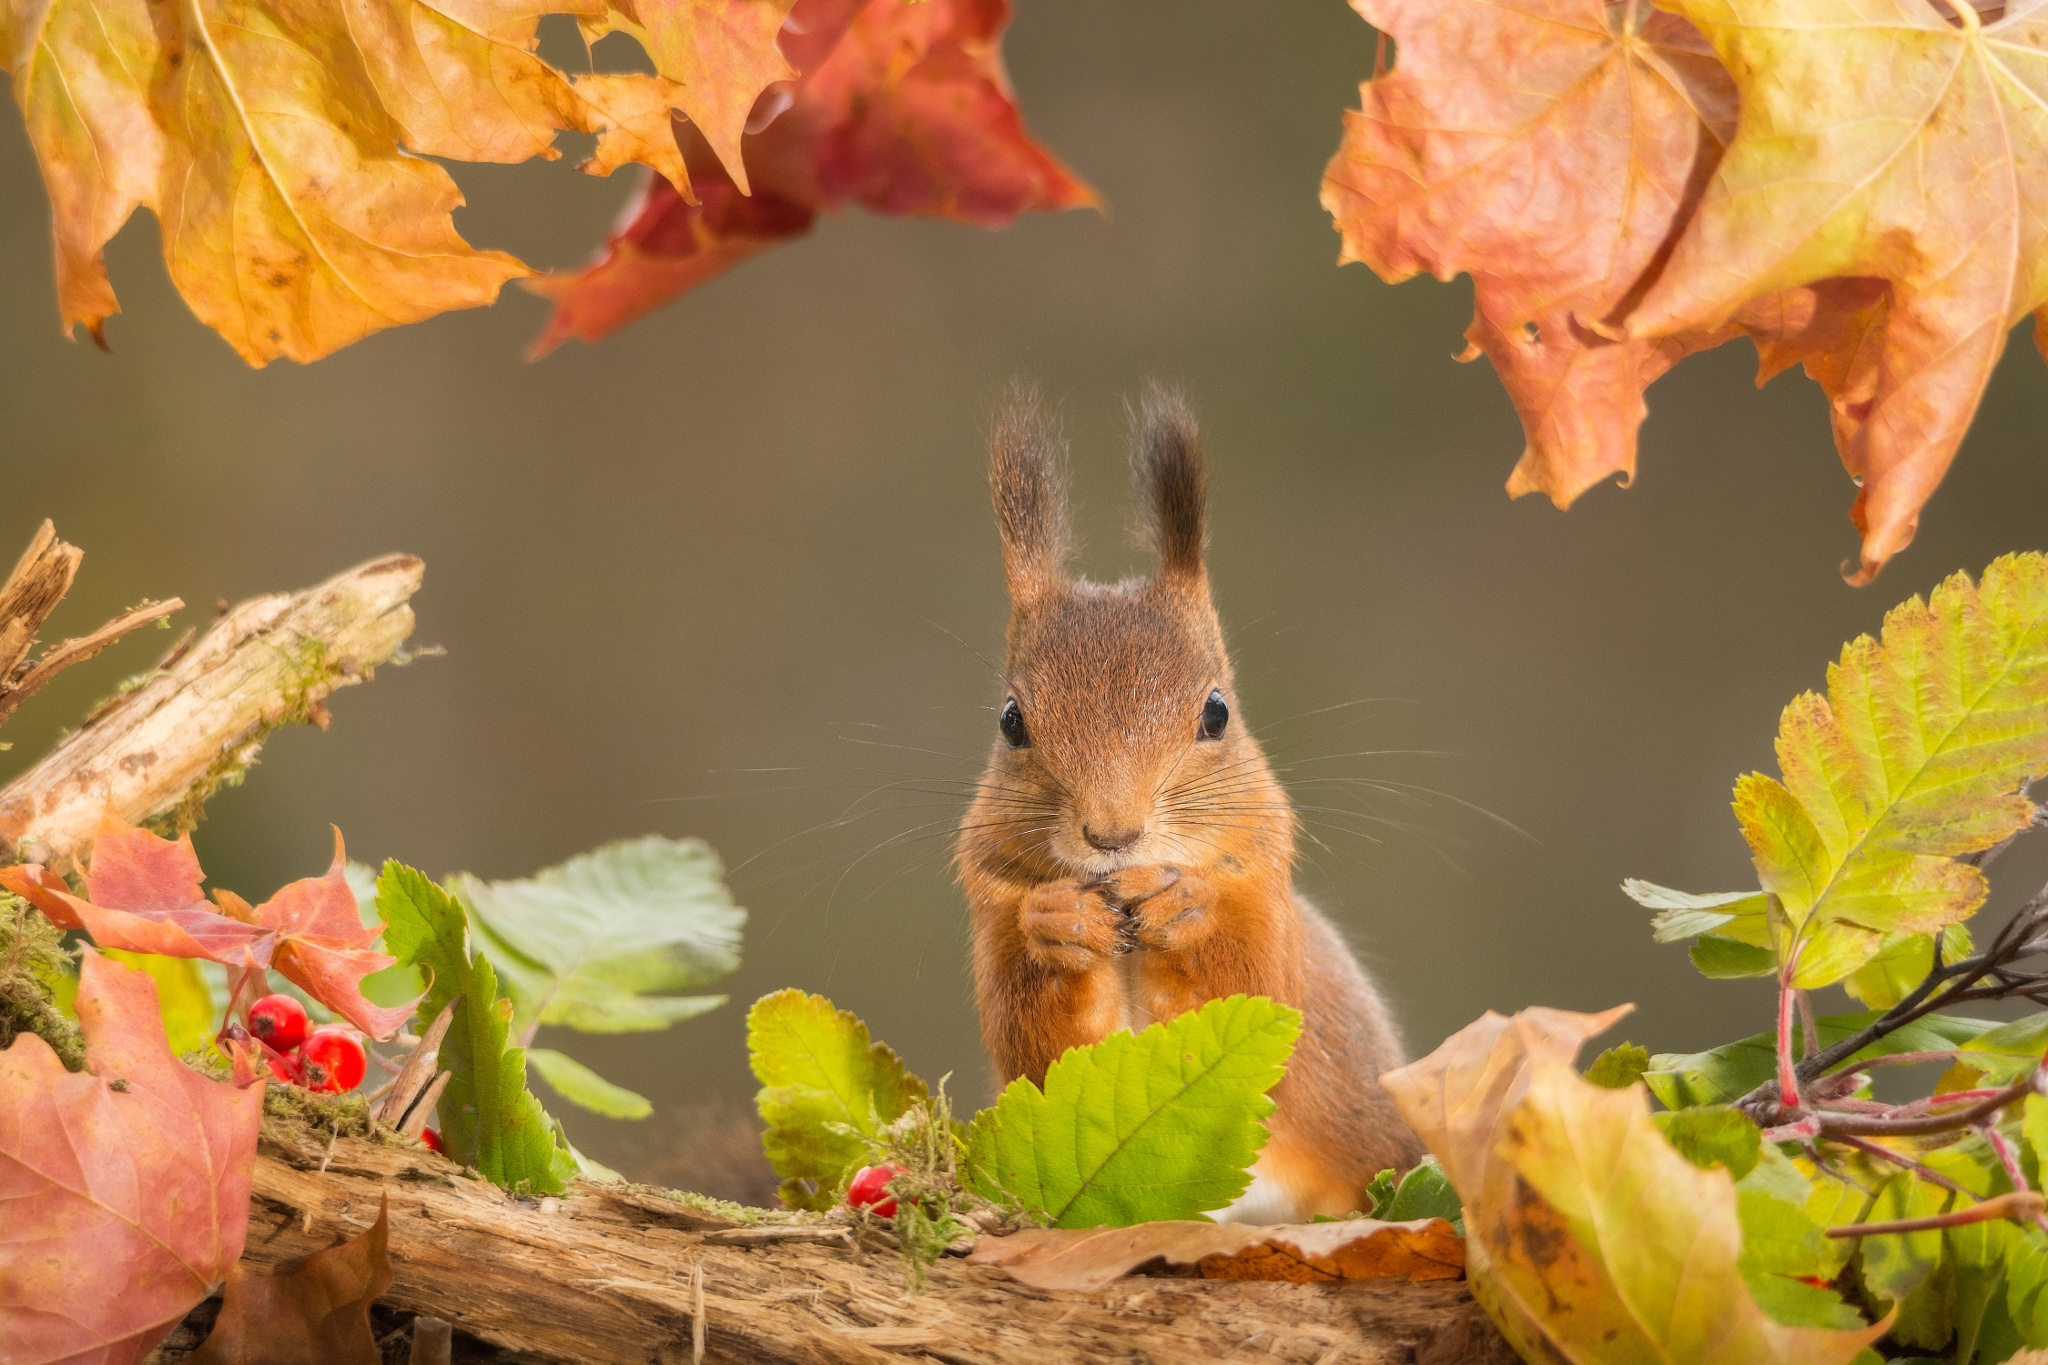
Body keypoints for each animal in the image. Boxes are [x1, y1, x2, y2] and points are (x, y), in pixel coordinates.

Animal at [958, 386, 1425, 1227]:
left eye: (1216, 712)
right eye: (1011, 721)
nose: (1112, 832)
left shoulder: (1266, 904)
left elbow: (1253, 987)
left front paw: (1186, 903)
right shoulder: (992, 912)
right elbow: (1043, 1051)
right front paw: (1057, 922)